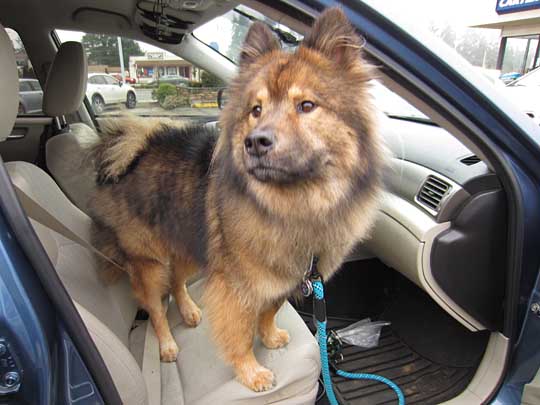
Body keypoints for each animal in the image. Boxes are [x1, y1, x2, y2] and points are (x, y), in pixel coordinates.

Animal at [89, 7, 384, 392]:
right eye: (256, 110)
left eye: (306, 105)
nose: (256, 141)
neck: (295, 205)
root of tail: (132, 148)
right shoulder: (236, 286)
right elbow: (241, 333)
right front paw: (251, 371)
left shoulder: (283, 278)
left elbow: (269, 312)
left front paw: (270, 337)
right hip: (148, 260)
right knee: (154, 306)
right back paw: (167, 343)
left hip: (191, 242)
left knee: (178, 280)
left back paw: (189, 310)